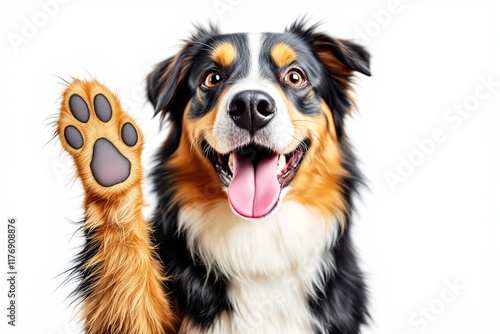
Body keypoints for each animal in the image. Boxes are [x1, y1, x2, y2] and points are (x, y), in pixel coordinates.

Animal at [58, 19, 372, 332]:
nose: (250, 106)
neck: (257, 239)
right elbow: (127, 279)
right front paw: (106, 148)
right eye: (212, 78)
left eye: (295, 77)